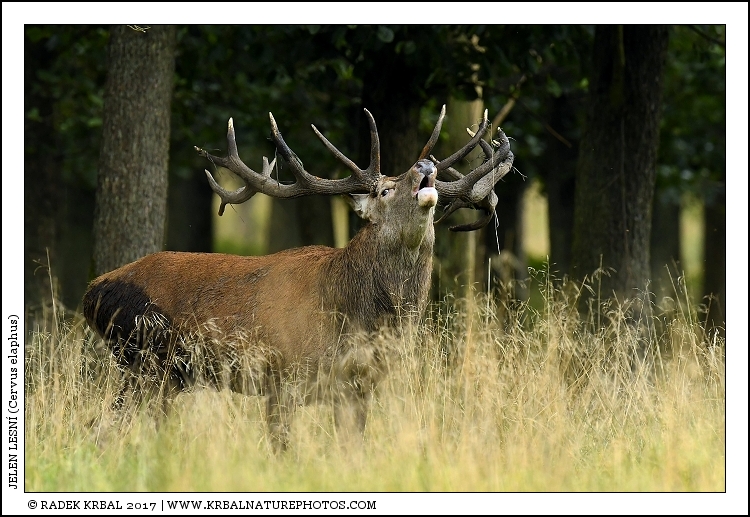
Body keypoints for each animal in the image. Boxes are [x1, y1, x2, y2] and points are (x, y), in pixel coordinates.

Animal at [82, 105, 514, 450]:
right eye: (384, 191)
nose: (425, 167)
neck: (353, 316)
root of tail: (91, 293)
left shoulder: (358, 388)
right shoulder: (281, 376)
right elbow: (283, 450)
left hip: (163, 375)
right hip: (143, 360)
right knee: (102, 427)